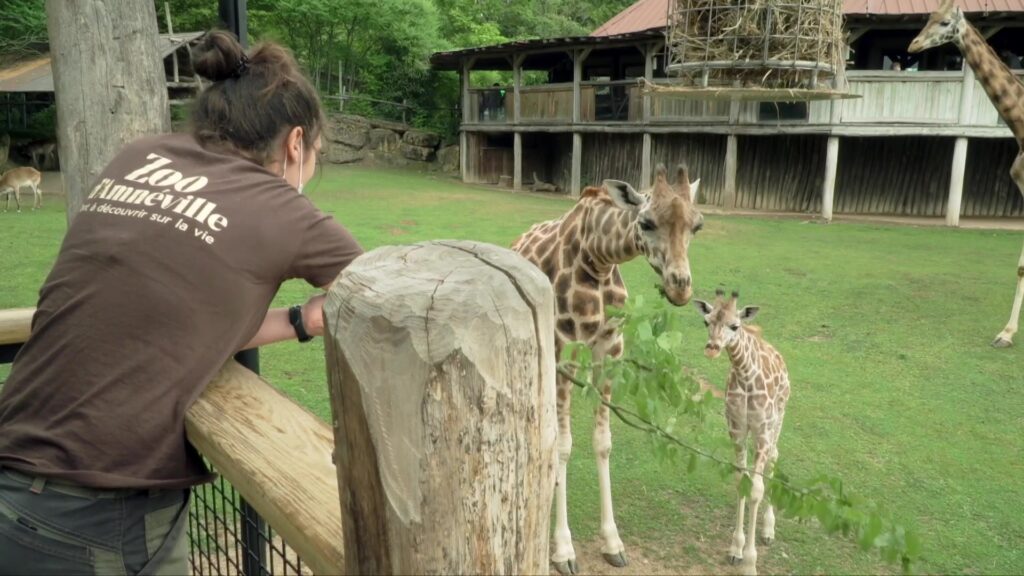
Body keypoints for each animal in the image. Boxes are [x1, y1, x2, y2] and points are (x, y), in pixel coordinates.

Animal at [696, 291, 790, 573]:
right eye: (706, 321)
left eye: (734, 326)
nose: (712, 348)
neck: (746, 375)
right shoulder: (736, 428)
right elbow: (741, 481)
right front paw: (735, 550)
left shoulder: (762, 430)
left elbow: (757, 488)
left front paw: (750, 563)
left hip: (778, 420)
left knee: (775, 457)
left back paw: (768, 530)